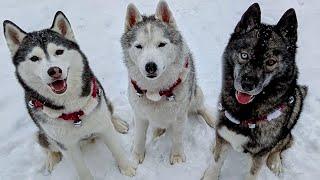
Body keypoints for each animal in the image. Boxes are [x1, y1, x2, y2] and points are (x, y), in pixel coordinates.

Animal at [4, 11, 136, 180]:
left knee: (109, 112)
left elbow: (116, 149)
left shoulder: (102, 124)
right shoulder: (66, 145)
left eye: (59, 51)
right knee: (45, 144)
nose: (54, 70)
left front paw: (127, 168)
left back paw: (118, 123)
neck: (72, 110)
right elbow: (81, 169)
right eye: (34, 58)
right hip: (45, 136)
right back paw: (51, 159)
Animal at [121, 0, 216, 165]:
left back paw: (211, 119)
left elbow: (177, 138)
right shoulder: (139, 114)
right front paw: (136, 156)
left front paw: (177, 157)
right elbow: (139, 137)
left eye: (161, 44)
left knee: (200, 107)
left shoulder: (180, 116)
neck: (156, 91)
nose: (150, 66)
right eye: (139, 46)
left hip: (196, 93)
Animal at [202, 2, 308, 180]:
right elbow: (216, 162)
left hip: (297, 99)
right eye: (244, 55)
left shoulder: (260, 154)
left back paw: (276, 162)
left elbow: (254, 171)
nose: (247, 84)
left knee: (284, 142)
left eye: (270, 62)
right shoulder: (224, 134)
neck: (246, 114)